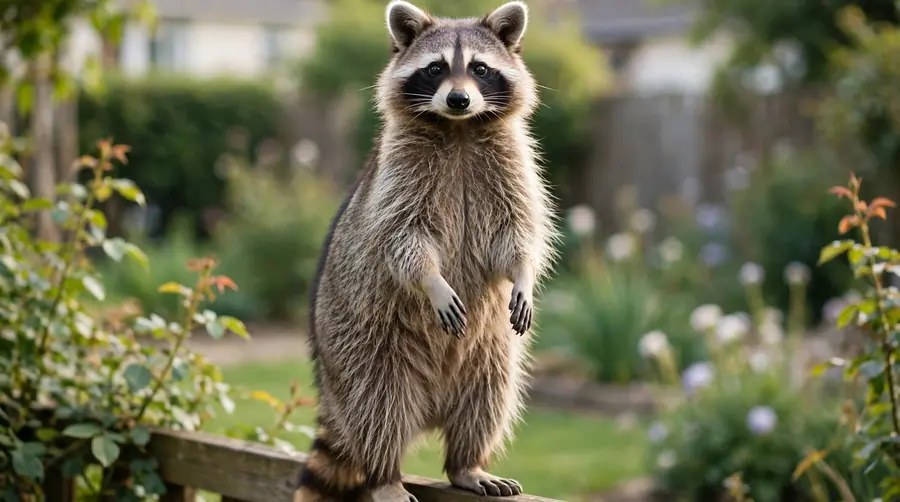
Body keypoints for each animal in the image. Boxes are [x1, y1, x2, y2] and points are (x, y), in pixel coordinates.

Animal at [299, 1, 558, 501]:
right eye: (436, 68)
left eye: (480, 69)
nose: (458, 99)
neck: (458, 129)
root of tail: (430, 407)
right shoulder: (397, 177)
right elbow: (403, 239)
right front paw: (432, 280)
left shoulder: (513, 165)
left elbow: (517, 232)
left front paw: (523, 274)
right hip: (360, 344)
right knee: (377, 406)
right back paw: (384, 474)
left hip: (490, 350)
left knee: (488, 398)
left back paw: (466, 463)